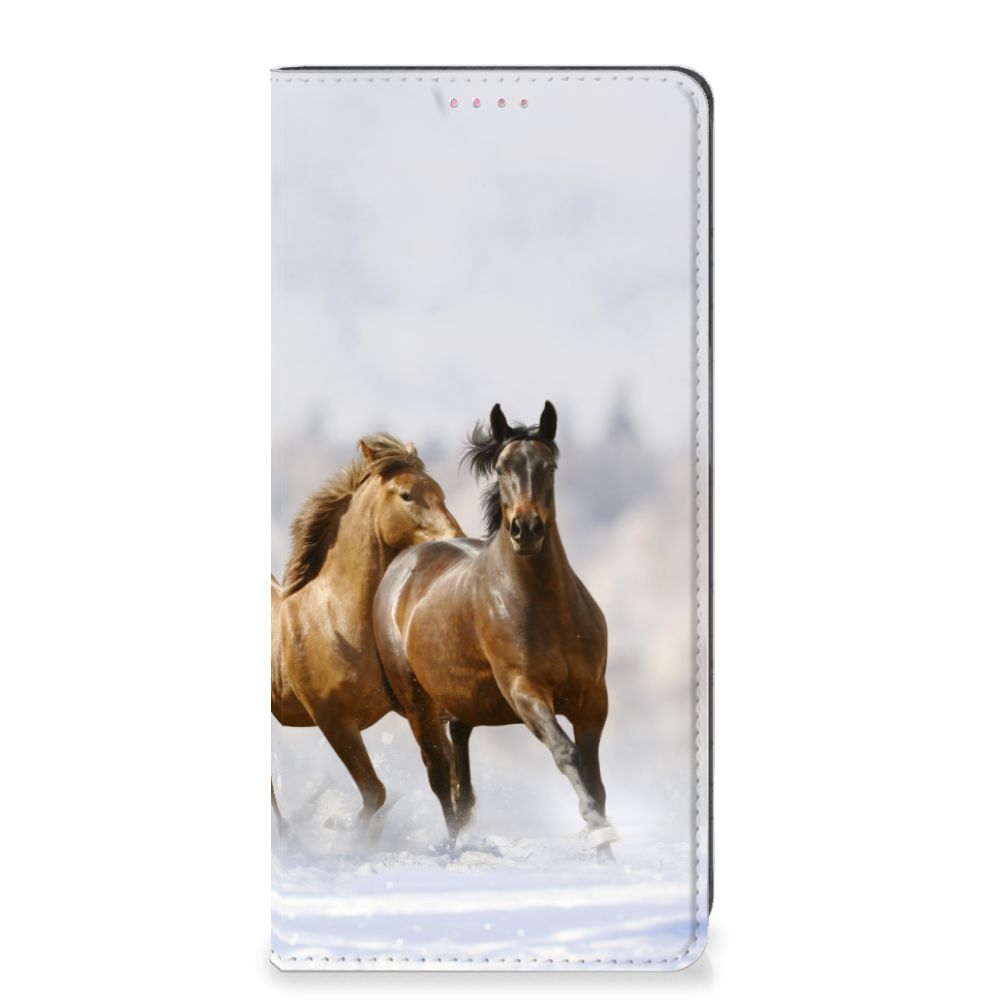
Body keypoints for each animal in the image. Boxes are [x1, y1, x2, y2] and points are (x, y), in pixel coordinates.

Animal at [271, 434, 463, 836]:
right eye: (406, 495)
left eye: (439, 491)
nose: (456, 539)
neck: (336, 621)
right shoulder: (334, 721)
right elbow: (375, 792)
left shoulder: (418, 709)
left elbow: (446, 774)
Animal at [373, 402, 616, 858]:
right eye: (502, 468)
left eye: (549, 466)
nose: (526, 529)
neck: (547, 609)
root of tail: (402, 565)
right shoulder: (525, 692)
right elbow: (566, 753)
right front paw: (597, 830)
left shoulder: (592, 699)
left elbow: (595, 778)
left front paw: (606, 849)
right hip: (418, 705)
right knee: (440, 775)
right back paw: (454, 849)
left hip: (462, 702)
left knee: (460, 777)